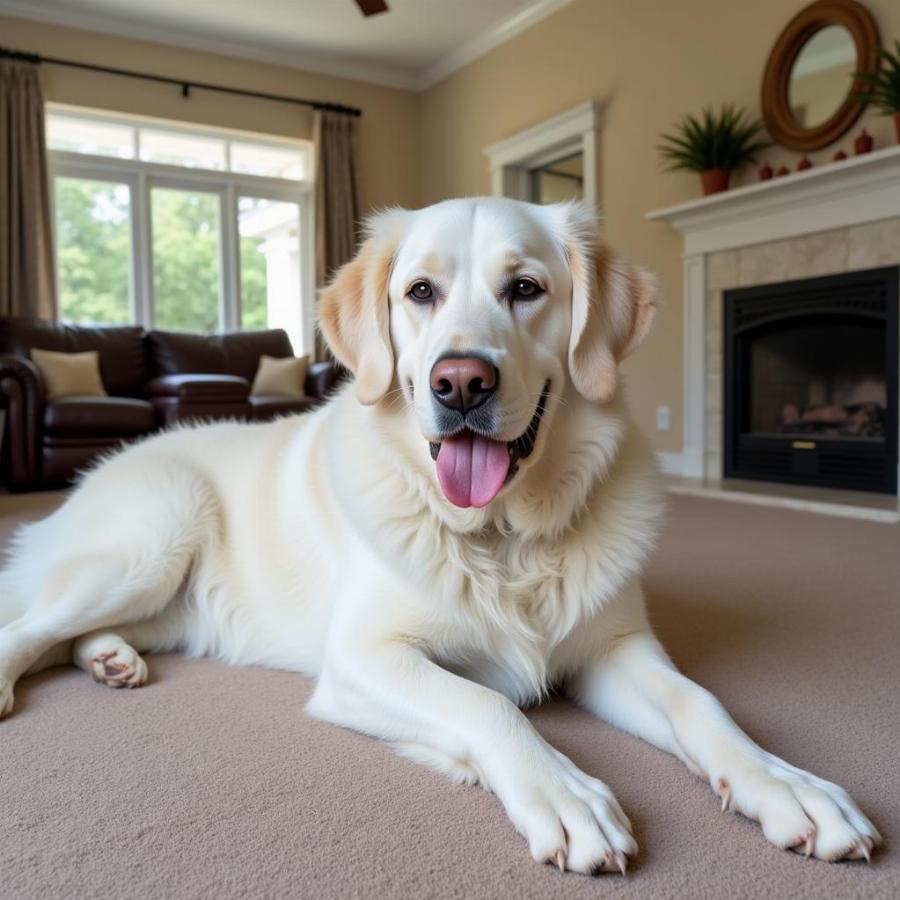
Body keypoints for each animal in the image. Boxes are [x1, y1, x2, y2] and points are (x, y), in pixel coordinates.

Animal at [0, 200, 880, 876]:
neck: (505, 535)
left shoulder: (611, 647)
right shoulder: (363, 660)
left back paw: (112, 659)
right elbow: (489, 706)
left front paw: (785, 785)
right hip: (152, 537)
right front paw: (565, 794)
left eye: (526, 288)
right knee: (28, 629)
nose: (460, 382)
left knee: (68, 637)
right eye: (419, 291)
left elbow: (701, 703)